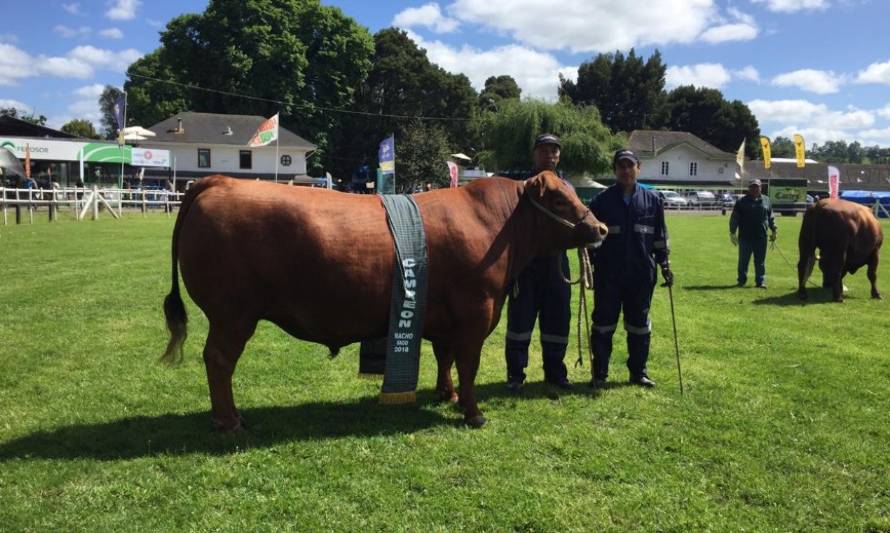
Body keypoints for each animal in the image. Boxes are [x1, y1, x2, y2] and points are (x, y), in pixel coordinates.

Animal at [161, 172, 604, 430]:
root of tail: (219, 181)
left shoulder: (446, 317)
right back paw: (229, 420)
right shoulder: (476, 313)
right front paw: (474, 412)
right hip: (232, 314)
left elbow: (445, 358)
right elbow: (469, 365)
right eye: (560, 200)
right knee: (219, 360)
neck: (497, 226)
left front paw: (447, 395)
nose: (600, 228)